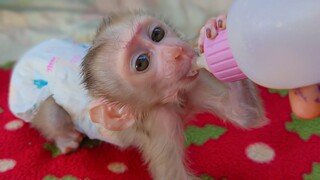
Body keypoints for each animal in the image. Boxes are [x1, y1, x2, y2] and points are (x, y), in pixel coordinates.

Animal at [9, 11, 264, 179]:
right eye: (142, 63)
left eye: (157, 33)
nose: (177, 52)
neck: (170, 100)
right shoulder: (159, 122)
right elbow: (173, 176)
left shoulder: (193, 85)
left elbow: (245, 115)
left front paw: (216, 28)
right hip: (30, 95)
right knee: (51, 112)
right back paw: (65, 138)